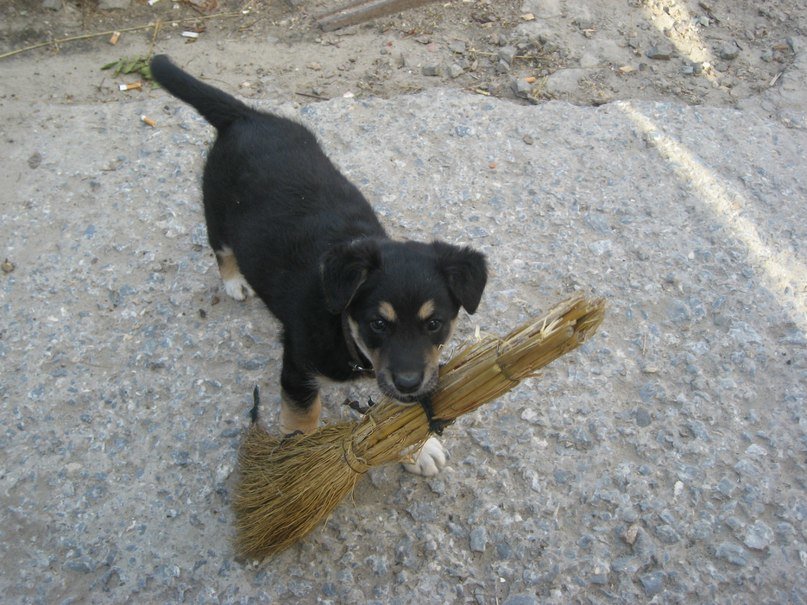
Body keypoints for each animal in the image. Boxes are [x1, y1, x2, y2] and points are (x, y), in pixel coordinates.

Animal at [151, 54, 490, 474]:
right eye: (378, 323)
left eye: (434, 323)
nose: (410, 383)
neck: (342, 325)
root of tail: (245, 115)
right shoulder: (298, 369)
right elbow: (303, 420)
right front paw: (298, 469)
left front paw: (418, 448)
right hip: (216, 209)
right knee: (221, 248)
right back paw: (233, 282)